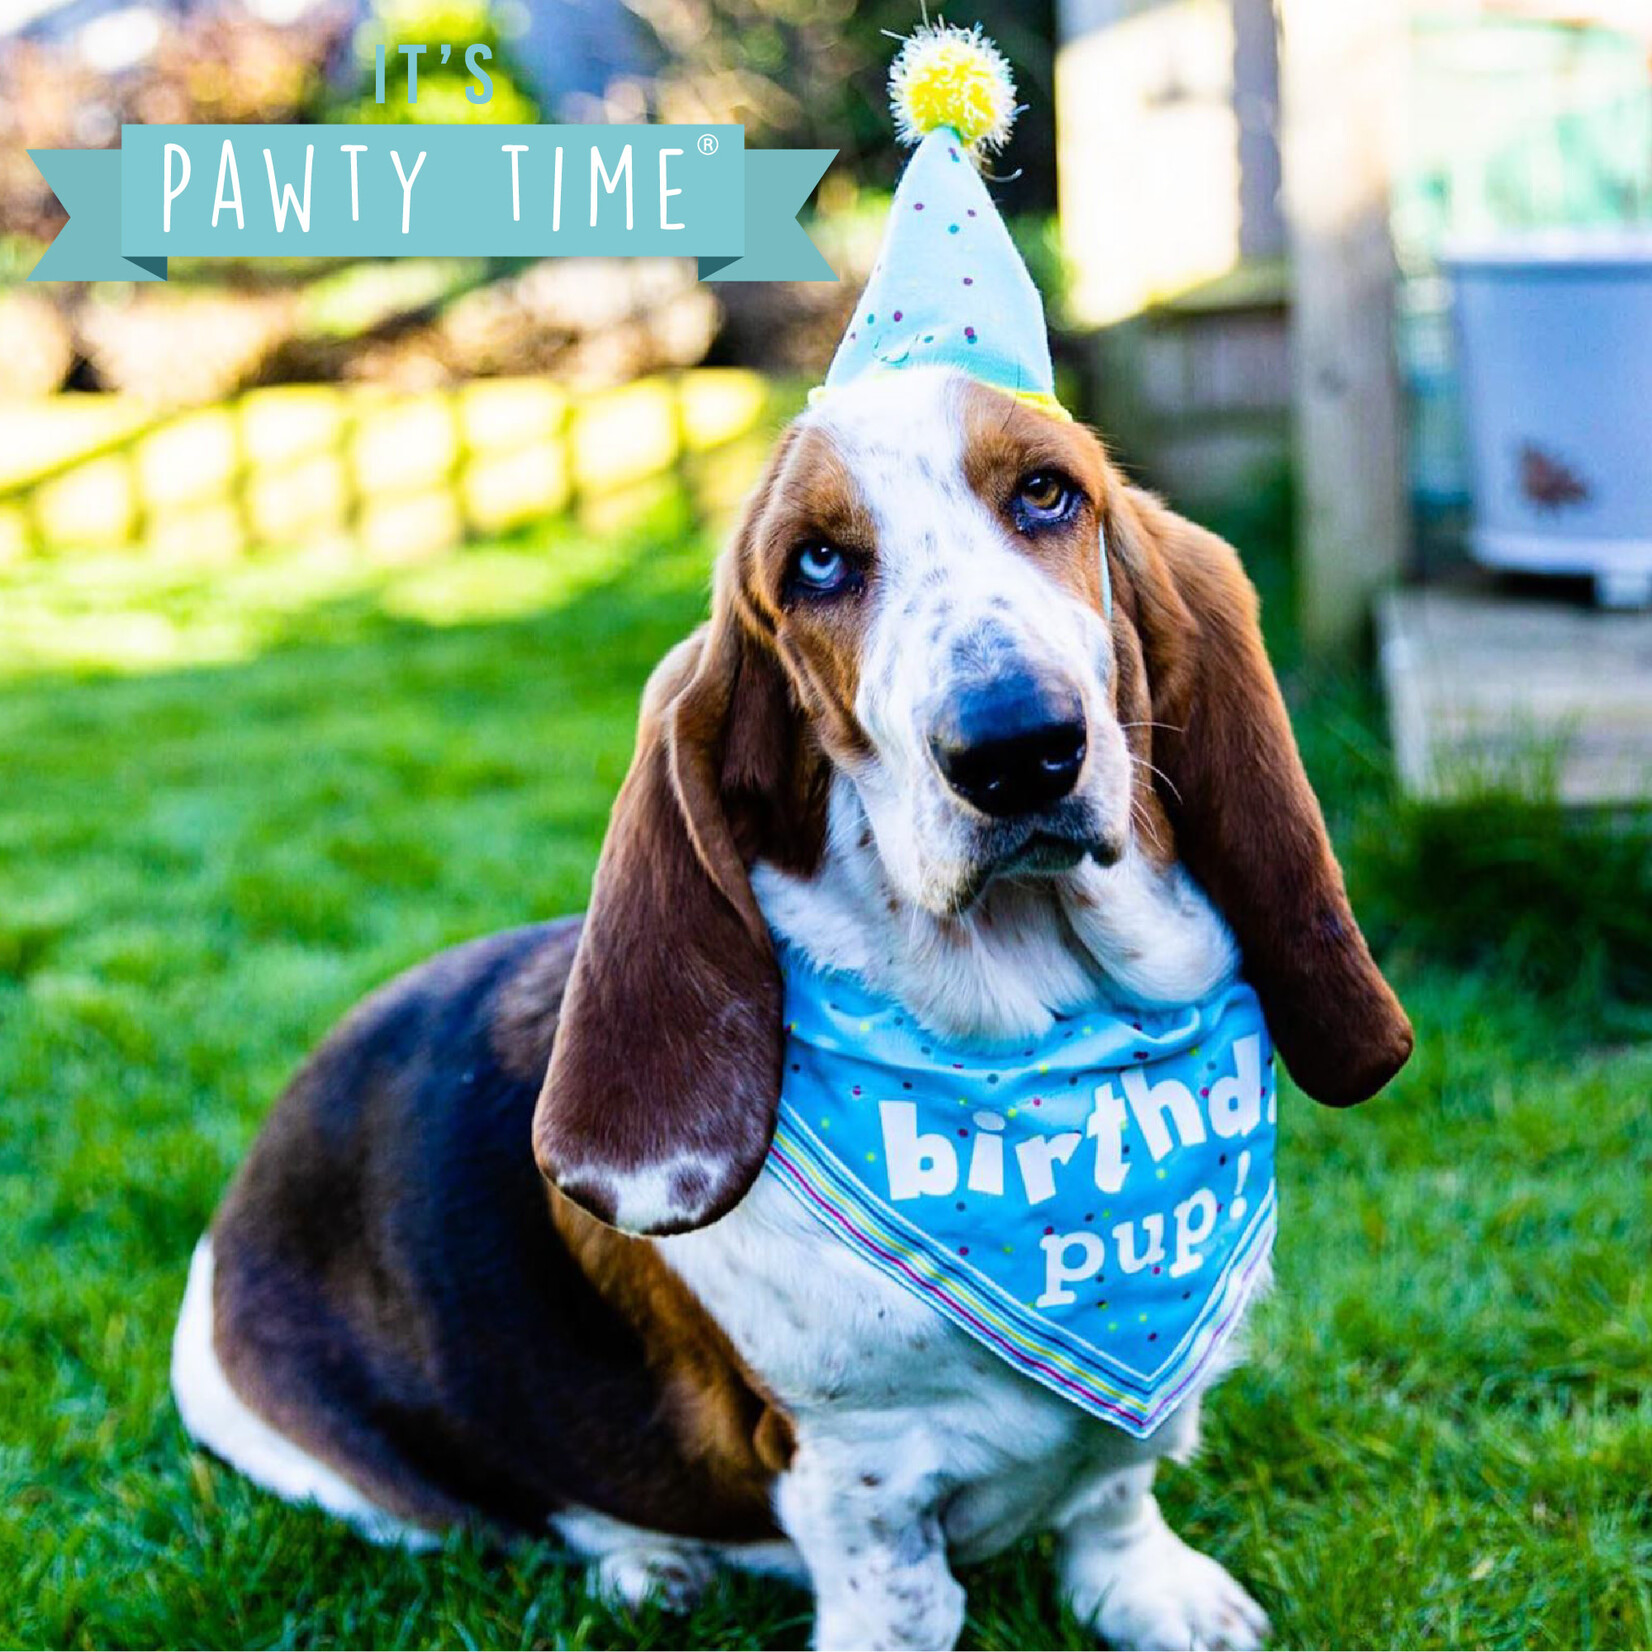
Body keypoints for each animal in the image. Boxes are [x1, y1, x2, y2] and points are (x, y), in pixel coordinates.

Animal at [177, 368, 1420, 1645]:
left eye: (1045, 492)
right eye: (817, 562)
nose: (1016, 745)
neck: (1038, 1030)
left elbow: (1112, 1494)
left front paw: (1150, 1589)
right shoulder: (853, 1473)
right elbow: (904, 1599)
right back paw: (648, 1564)